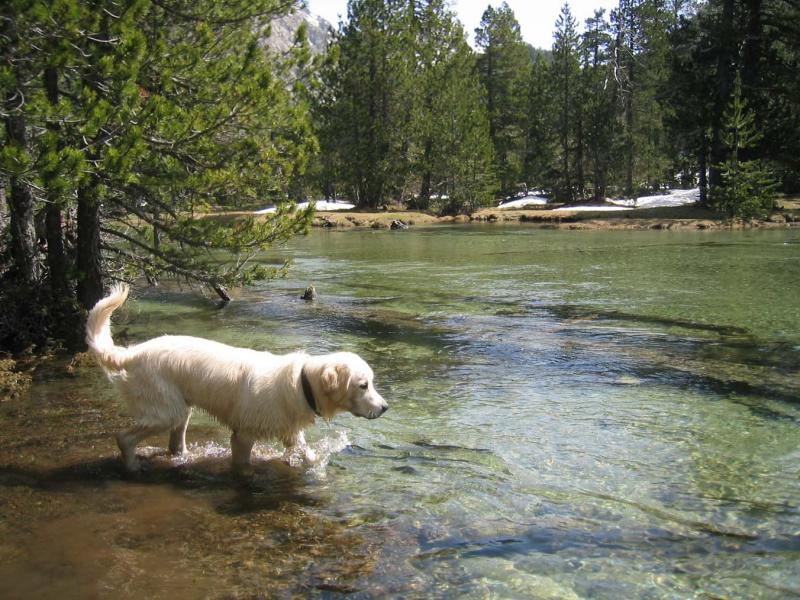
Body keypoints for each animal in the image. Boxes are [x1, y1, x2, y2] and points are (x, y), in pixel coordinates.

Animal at [86, 286, 390, 474]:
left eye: (371, 382)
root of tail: (130, 353)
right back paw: (132, 467)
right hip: (163, 411)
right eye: (363, 385)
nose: (385, 407)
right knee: (124, 437)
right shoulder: (244, 435)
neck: (301, 385)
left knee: (174, 442)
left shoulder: (291, 433)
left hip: (181, 409)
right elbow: (243, 464)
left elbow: (308, 454)